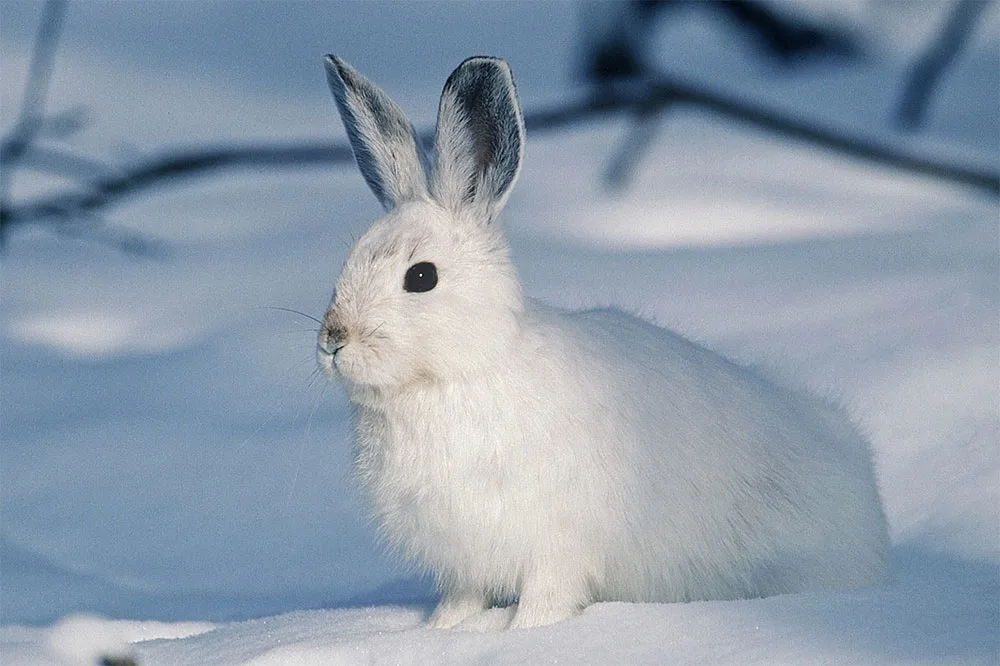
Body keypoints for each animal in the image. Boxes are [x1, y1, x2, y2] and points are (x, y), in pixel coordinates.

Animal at [317, 55, 891, 630]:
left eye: (421, 277)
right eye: (345, 266)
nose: (333, 340)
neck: (461, 372)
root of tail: (870, 509)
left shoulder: (554, 550)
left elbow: (544, 601)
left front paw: (522, 634)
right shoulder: (464, 564)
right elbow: (462, 601)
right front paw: (441, 632)